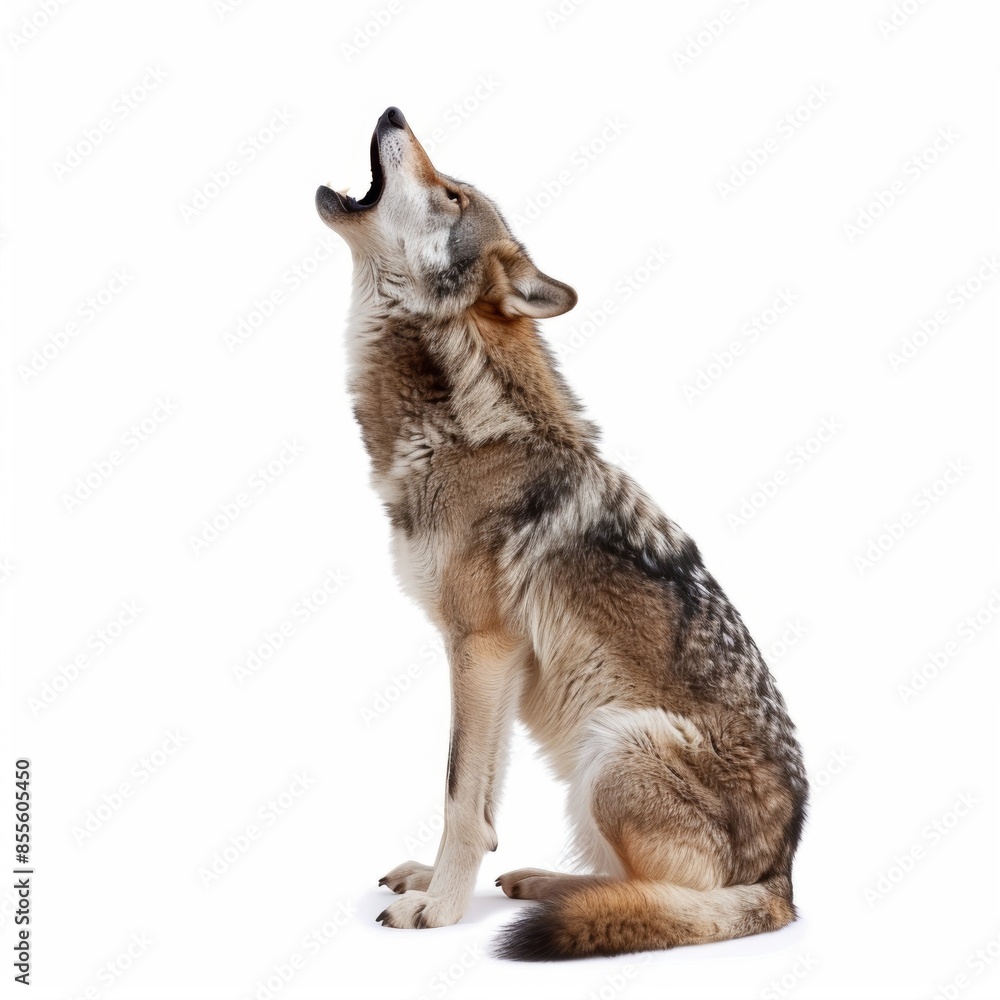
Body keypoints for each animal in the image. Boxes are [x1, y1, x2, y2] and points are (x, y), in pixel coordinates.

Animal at [316, 107, 807, 960]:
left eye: (452, 194)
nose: (392, 112)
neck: (457, 427)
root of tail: (788, 883)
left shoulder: (481, 645)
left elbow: (457, 794)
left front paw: (440, 911)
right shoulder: (500, 661)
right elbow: (481, 799)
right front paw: (439, 885)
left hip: (616, 744)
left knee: (675, 902)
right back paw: (543, 886)